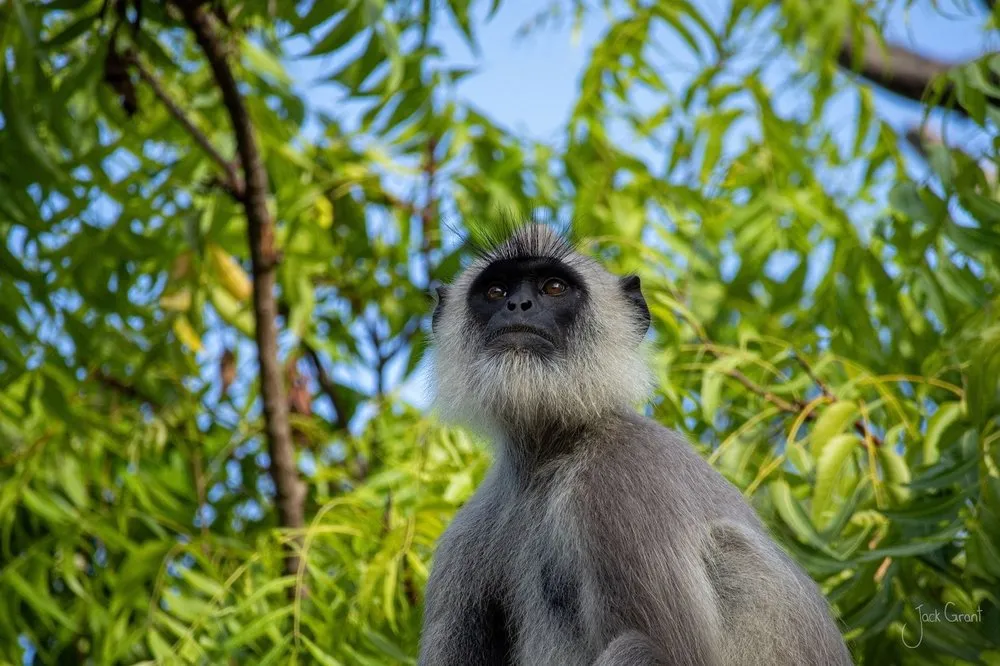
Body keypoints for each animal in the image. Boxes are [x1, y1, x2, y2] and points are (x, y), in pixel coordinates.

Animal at [420, 222, 853, 666]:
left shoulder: (621, 478)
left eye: (554, 287)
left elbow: (671, 653)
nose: (518, 305)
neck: (549, 454)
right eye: (496, 291)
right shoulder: (465, 538)